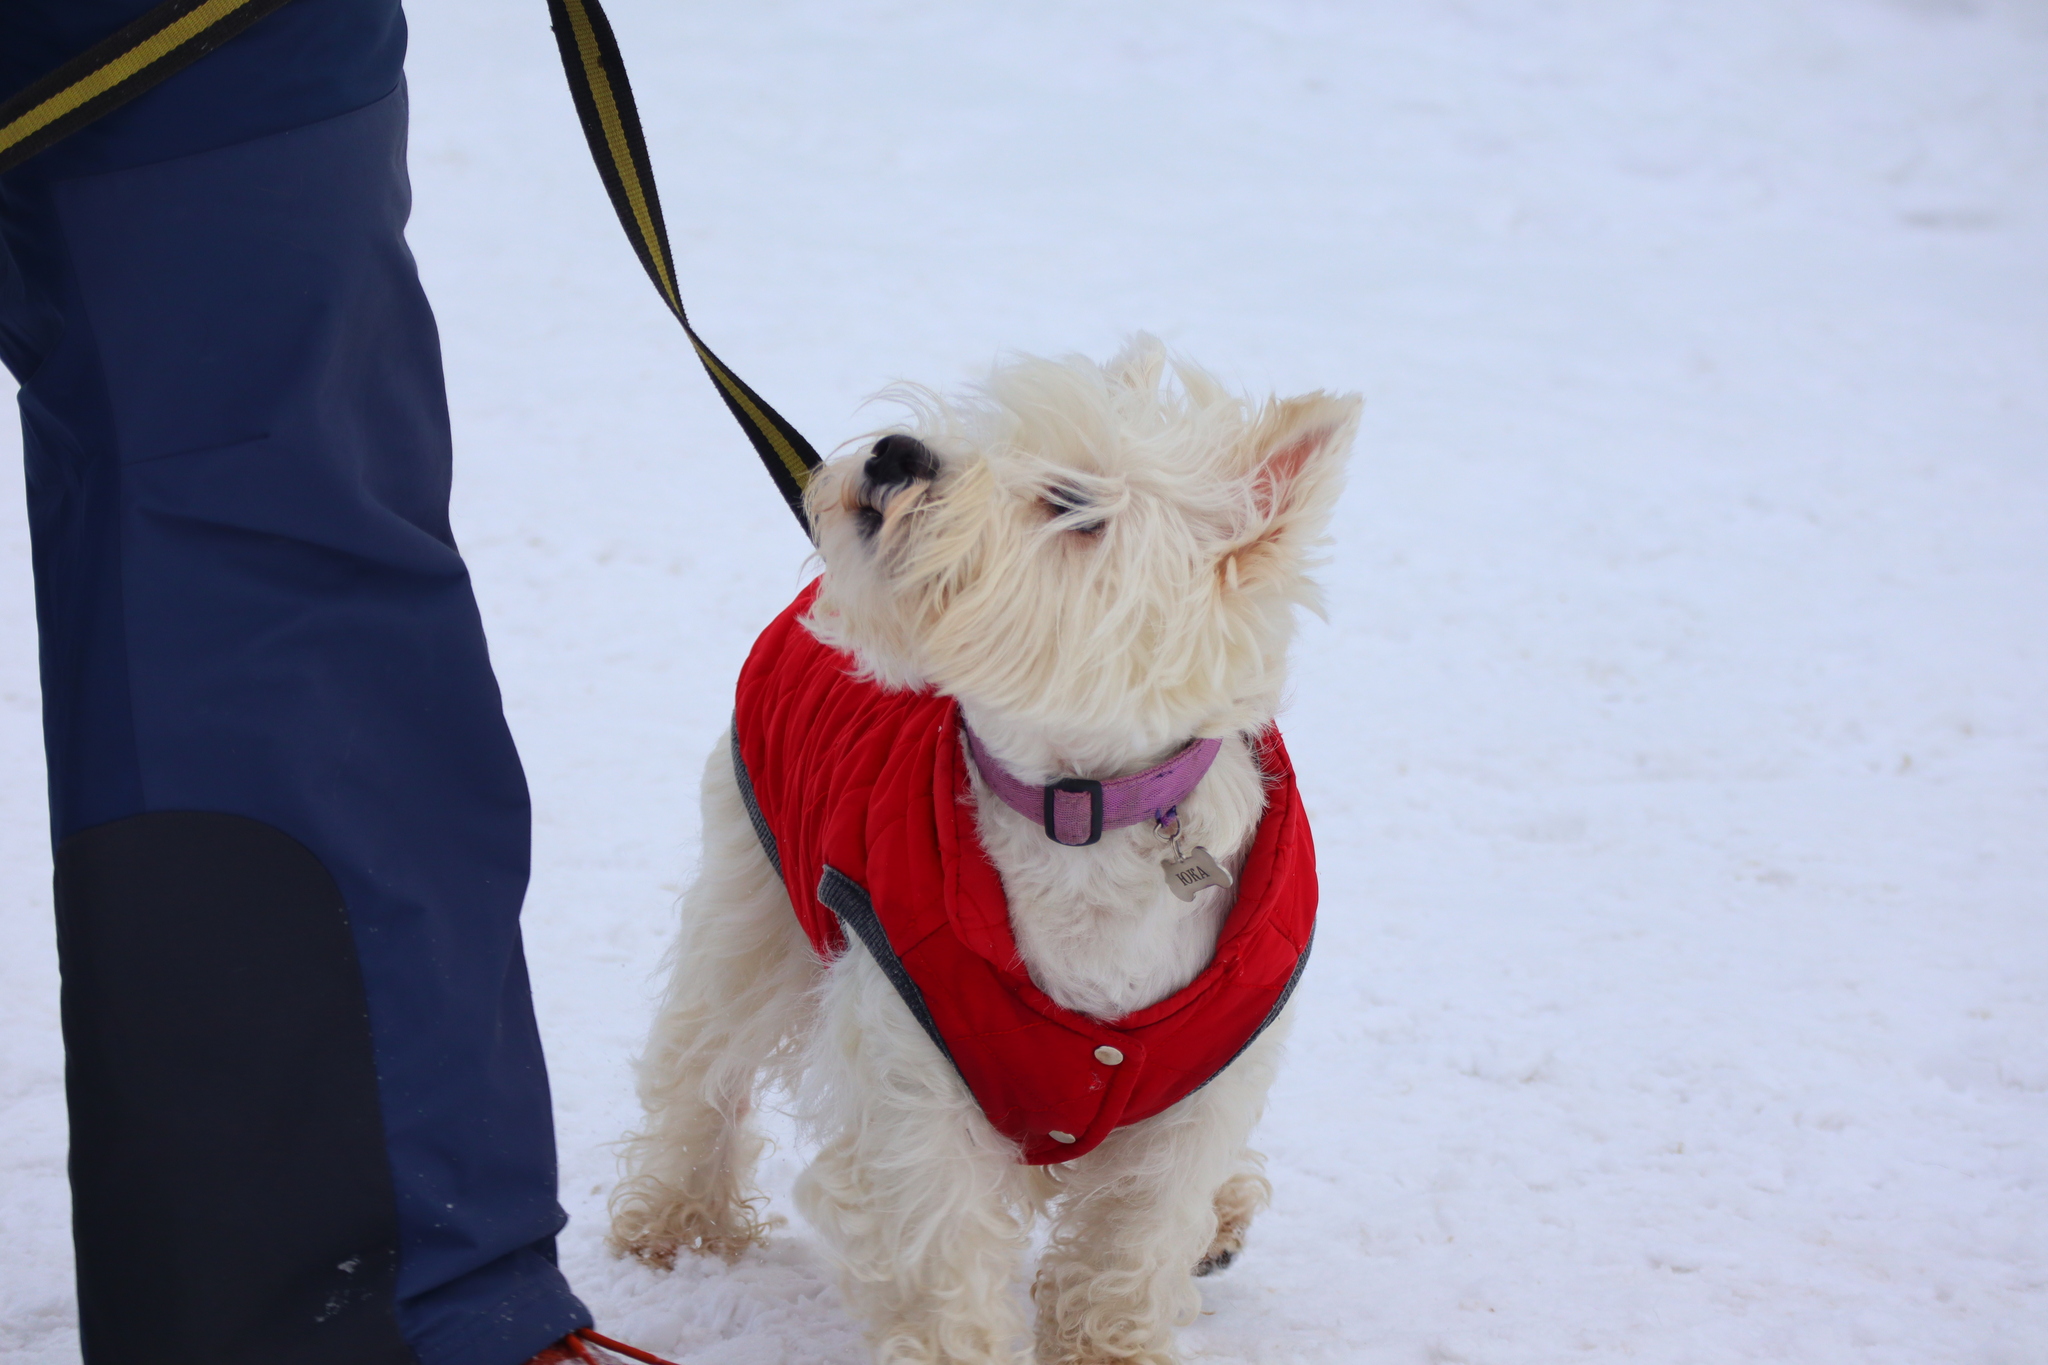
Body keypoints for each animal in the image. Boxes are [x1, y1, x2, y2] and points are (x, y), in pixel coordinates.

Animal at [606, 333, 1359, 1365]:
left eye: (1073, 501)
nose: (896, 452)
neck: (1078, 811)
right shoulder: (916, 1082)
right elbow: (944, 1267)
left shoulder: (1193, 1095)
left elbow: (1129, 1250)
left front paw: (1115, 1341)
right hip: (752, 894)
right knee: (700, 1061)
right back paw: (673, 1223)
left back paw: (1227, 1211)